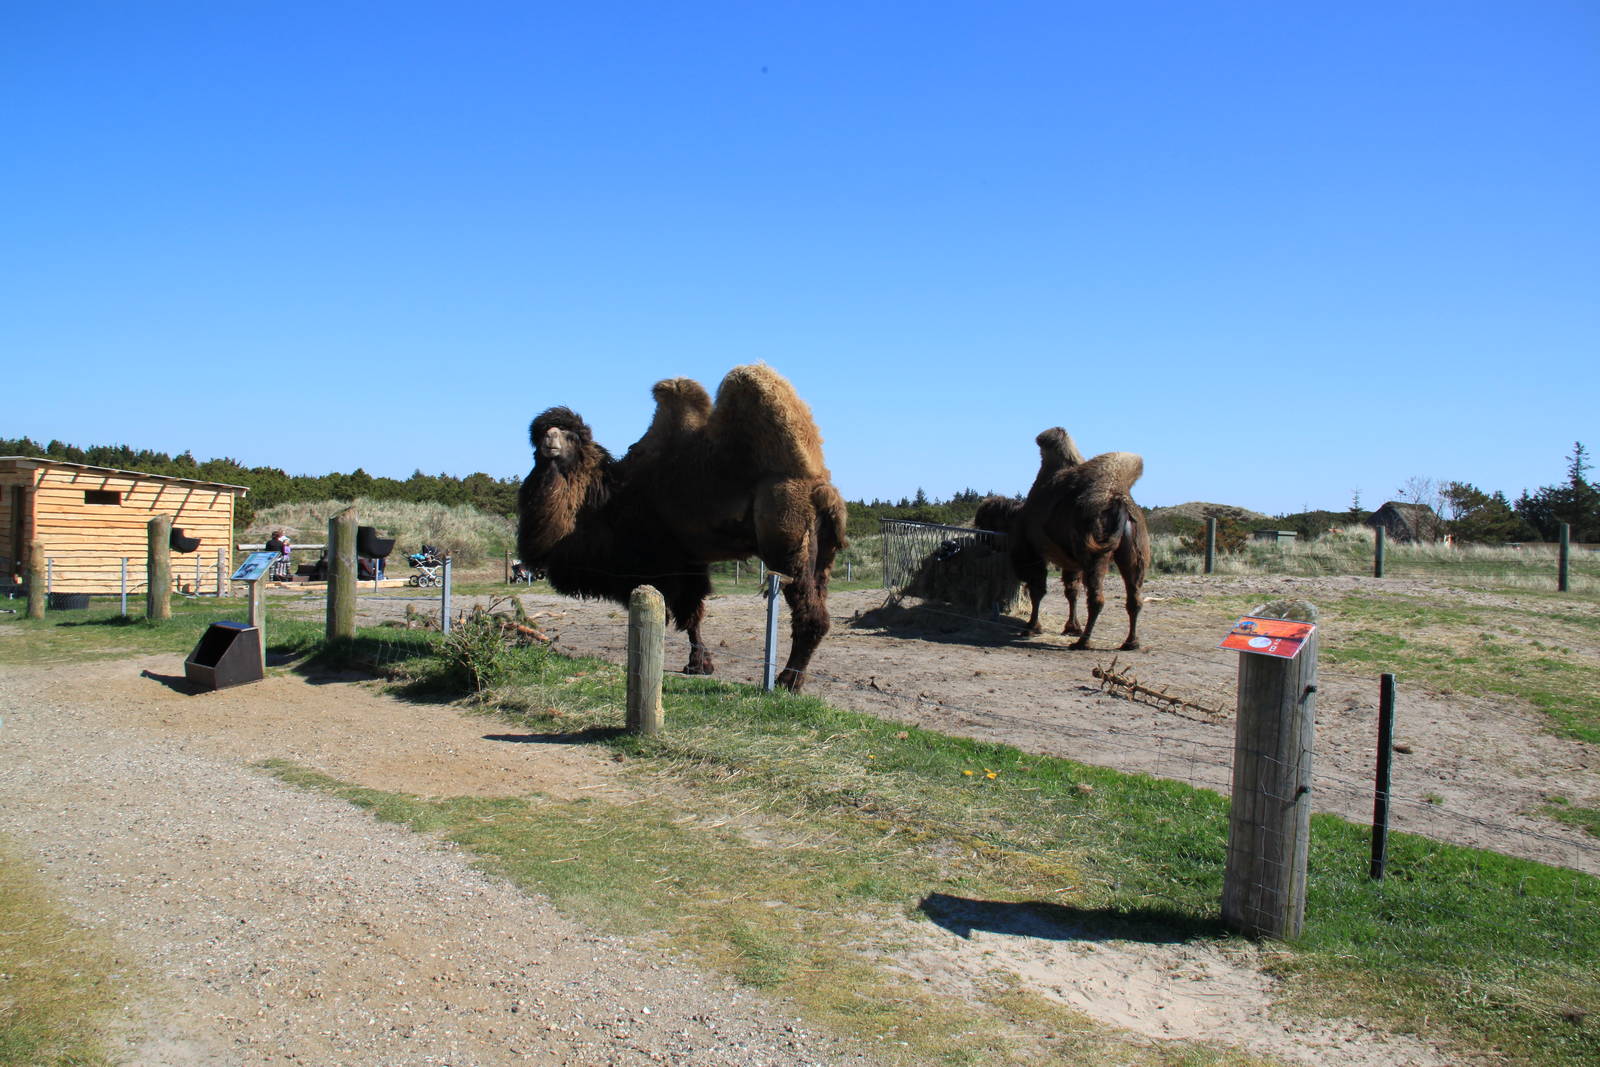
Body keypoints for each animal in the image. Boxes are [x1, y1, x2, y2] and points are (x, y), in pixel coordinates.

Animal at [516, 364, 847, 690]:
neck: (611, 499)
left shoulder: (660, 563)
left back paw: (787, 681)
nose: (550, 441)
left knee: (810, 614)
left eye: (572, 436)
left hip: (785, 540)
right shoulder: (690, 561)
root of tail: (819, 488)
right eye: (540, 433)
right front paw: (700, 665)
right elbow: (694, 615)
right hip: (823, 555)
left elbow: (671, 613)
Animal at [977, 428, 1150, 650]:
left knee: (1097, 598)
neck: (1017, 517)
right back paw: (1130, 642)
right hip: (1135, 551)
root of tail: (1119, 503)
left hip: (1095, 554)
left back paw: (1083, 642)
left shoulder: (1031, 555)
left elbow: (1037, 590)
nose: (981, 537)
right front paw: (1071, 627)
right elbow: (1071, 591)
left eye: (985, 522)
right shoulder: (1071, 563)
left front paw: (1032, 627)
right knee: (1134, 597)